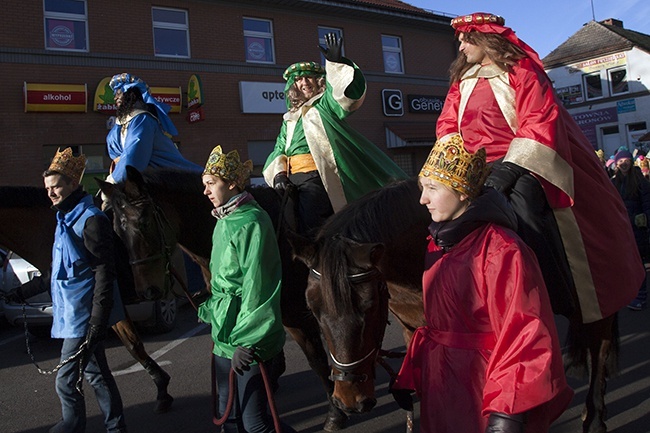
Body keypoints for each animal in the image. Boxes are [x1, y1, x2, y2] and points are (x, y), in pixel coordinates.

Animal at [95, 165, 350, 428]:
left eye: (144, 223)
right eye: (116, 232)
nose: (148, 291)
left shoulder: (298, 317)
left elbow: (318, 360)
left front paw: (335, 413)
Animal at [292, 177, 620, 432]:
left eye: (369, 305)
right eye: (313, 309)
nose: (348, 401)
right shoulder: (414, 332)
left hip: (597, 299)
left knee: (601, 347)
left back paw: (595, 417)